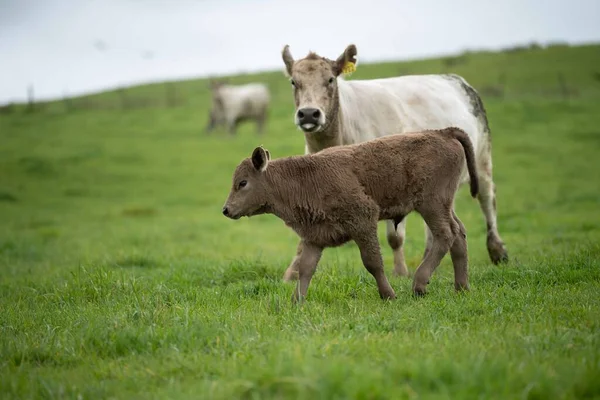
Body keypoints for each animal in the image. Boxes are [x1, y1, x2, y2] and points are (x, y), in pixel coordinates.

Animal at [223, 127, 480, 300]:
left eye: (243, 183)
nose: (226, 209)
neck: (305, 178)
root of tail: (443, 132)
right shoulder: (315, 236)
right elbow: (305, 269)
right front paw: (297, 301)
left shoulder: (363, 221)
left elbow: (372, 262)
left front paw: (388, 294)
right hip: (444, 205)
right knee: (459, 234)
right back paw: (461, 287)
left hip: (431, 205)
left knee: (446, 234)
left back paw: (419, 284)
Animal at [278, 43, 508, 282]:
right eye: (293, 81)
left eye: (331, 79)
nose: (308, 114)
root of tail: (453, 79)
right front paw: (291, 273)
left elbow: (394, 236)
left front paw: (400, 272)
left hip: (481, 159)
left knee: (487, 198)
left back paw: (497, 250)